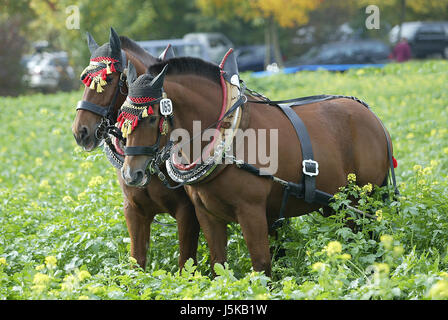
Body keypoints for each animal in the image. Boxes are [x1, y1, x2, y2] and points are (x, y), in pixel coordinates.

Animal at [71, 29, 198, 270]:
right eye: (85, 80)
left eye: (109, 79)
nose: (79, 131)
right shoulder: (133, 210)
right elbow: (137, 262)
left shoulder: (188, 212)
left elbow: (186, 263)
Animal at [120, 51, 396, 276]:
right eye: (124, 118)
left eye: (151, 117)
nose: (131, 174)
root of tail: (371, 115)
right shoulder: (206, 213)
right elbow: (219, 266)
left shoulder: (251, 211)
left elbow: (261, 265)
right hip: (336, 202)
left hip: (363, 199)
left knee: (368, 239)